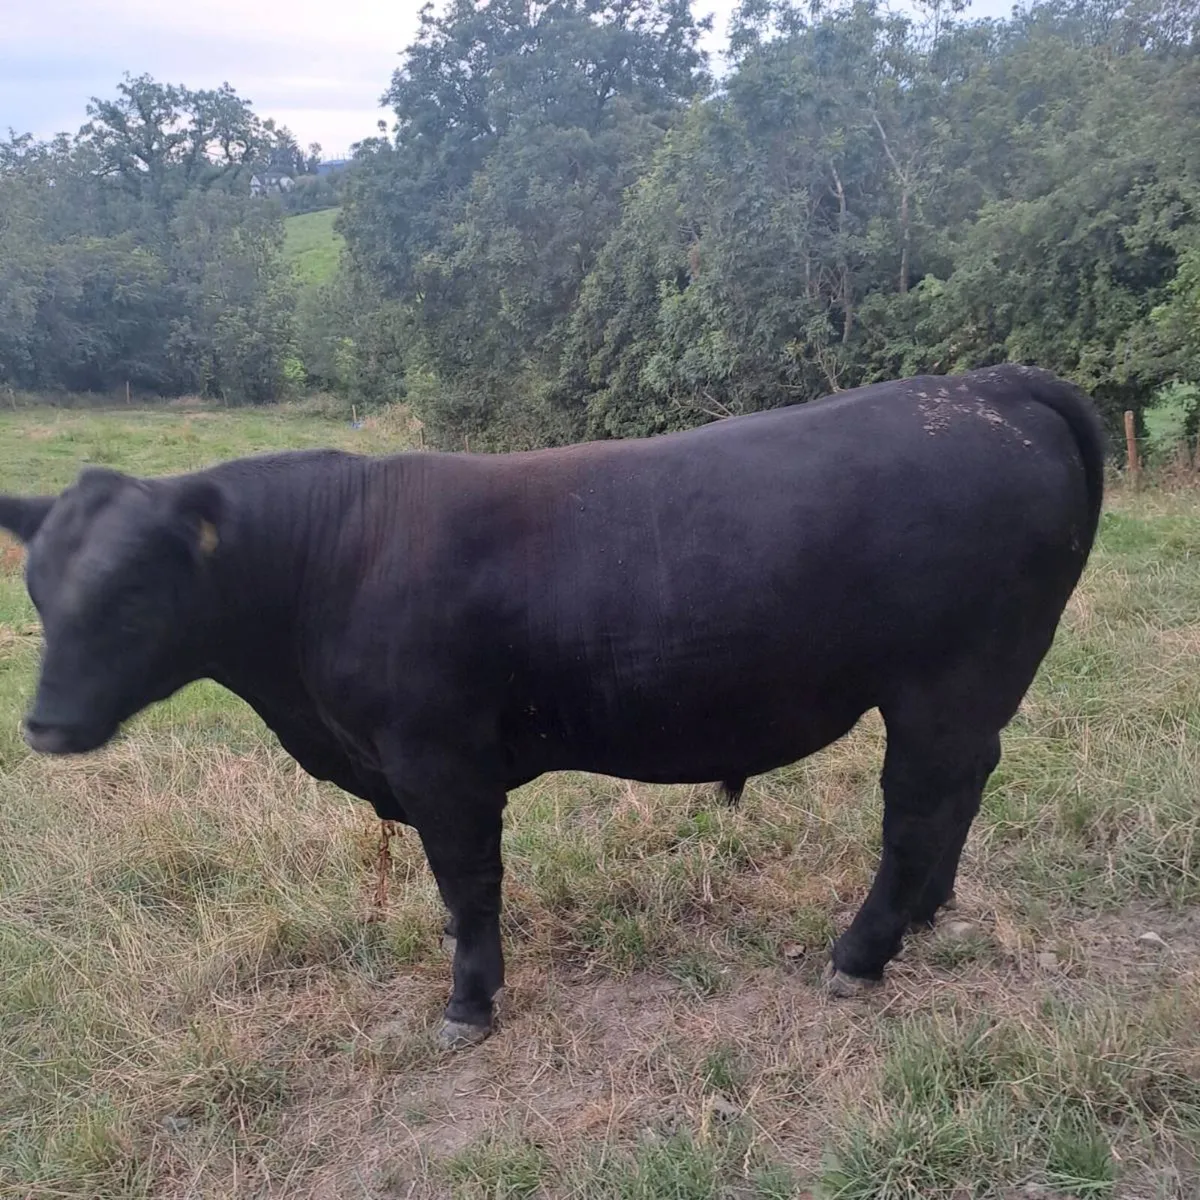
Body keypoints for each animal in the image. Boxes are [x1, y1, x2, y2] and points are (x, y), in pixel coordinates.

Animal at [0, 365, 1105, 1050]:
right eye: (38, 590)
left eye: (134, 595)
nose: (43, 725)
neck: (335, 553)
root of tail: (991, 384)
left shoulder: (439, 761)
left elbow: (467, 886)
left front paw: (468, 1003)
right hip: (971, 690)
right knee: (963, 786)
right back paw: (927, 914)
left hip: (941, 683)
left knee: (917, 807)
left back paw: (862, 951)